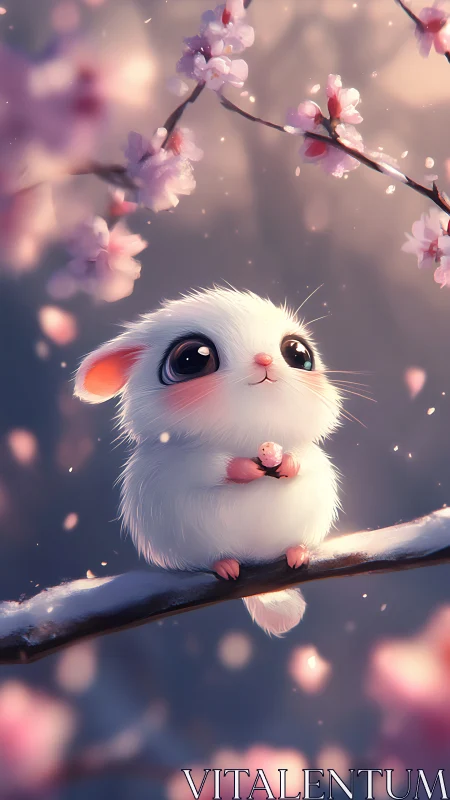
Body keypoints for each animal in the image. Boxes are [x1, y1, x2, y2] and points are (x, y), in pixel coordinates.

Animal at [74, 287, 342, 636]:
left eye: (298, 354)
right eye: (191, 359)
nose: (265, 359)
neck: (248, 434)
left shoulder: (310, 455)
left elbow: (305, 459)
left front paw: (285, 463)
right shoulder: (178, 460)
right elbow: (204, 467)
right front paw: (244, 469)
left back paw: (297, 553)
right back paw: (226, 565)